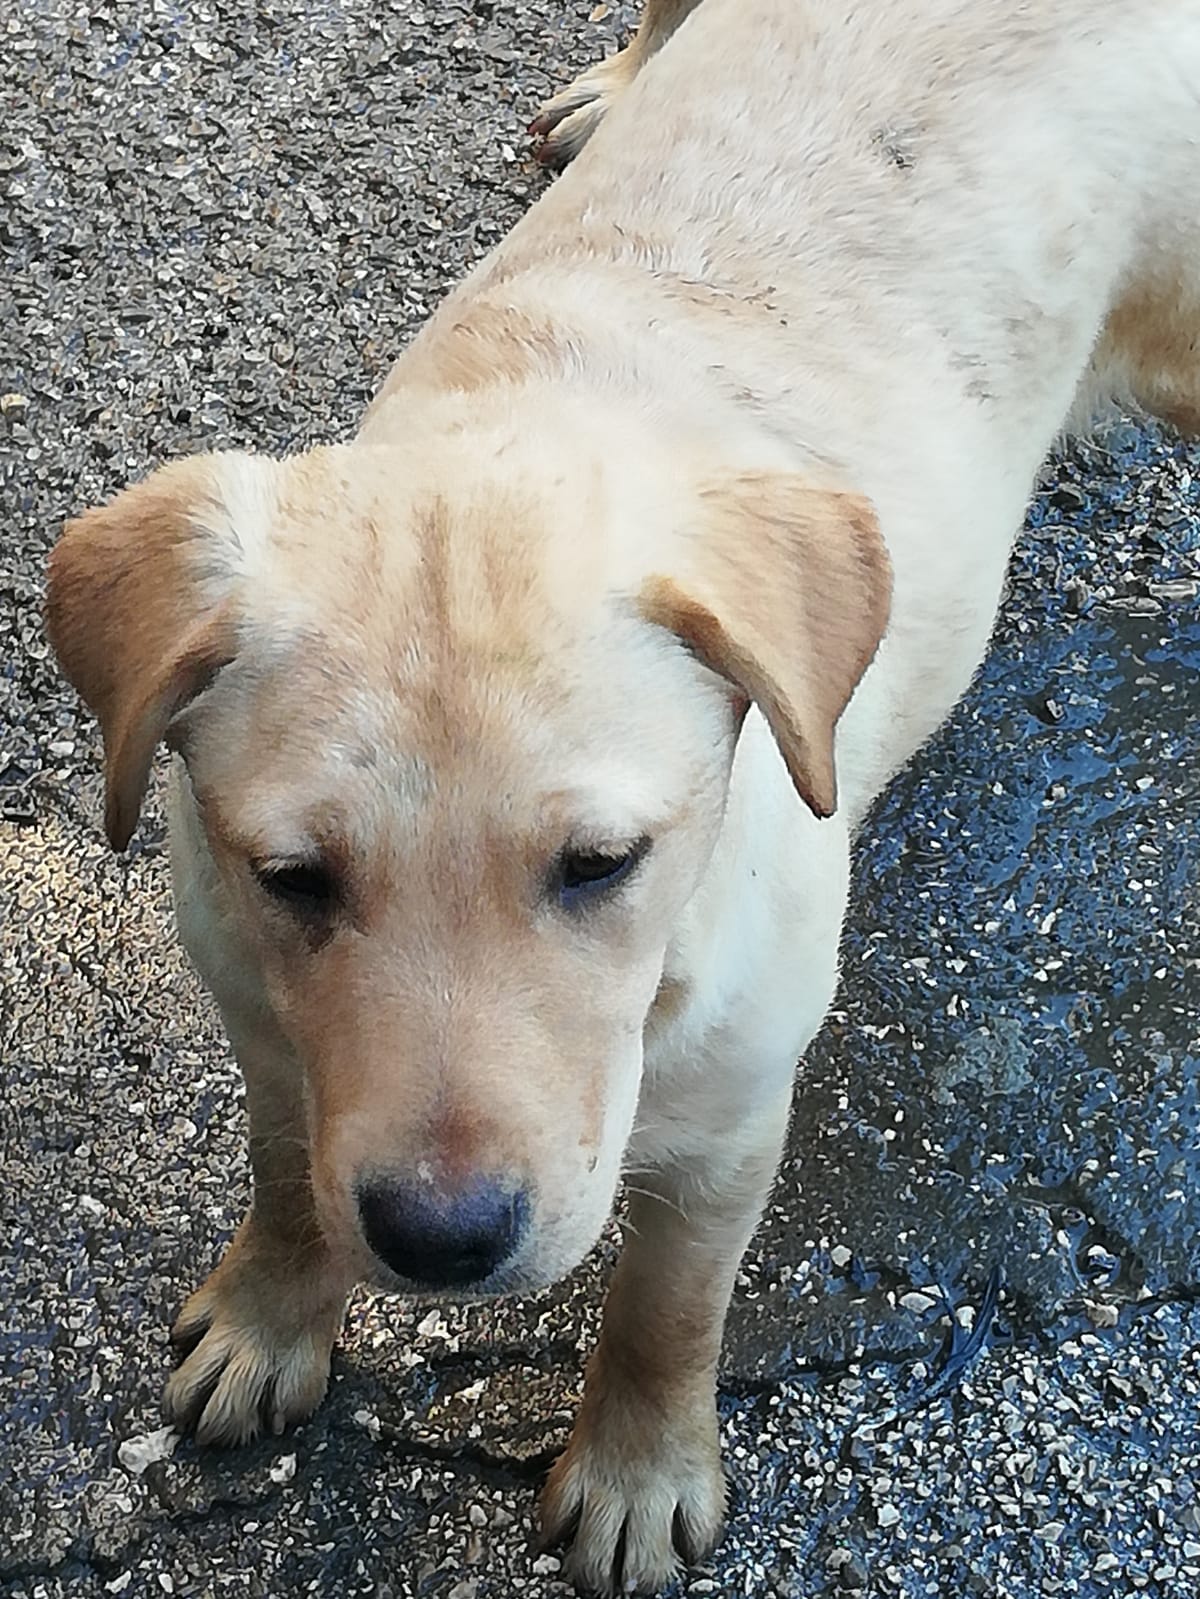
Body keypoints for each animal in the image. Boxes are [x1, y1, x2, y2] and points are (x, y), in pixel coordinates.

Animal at [46, 0, 1200, 1591]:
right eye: (294, 878)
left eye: (600, 863)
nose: (442, 1241)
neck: (543, 410)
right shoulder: (266, 1022)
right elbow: (287, 1176)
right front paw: (273, 1312)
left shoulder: (724, 1130)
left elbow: (667, 1309)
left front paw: (638, 1469)